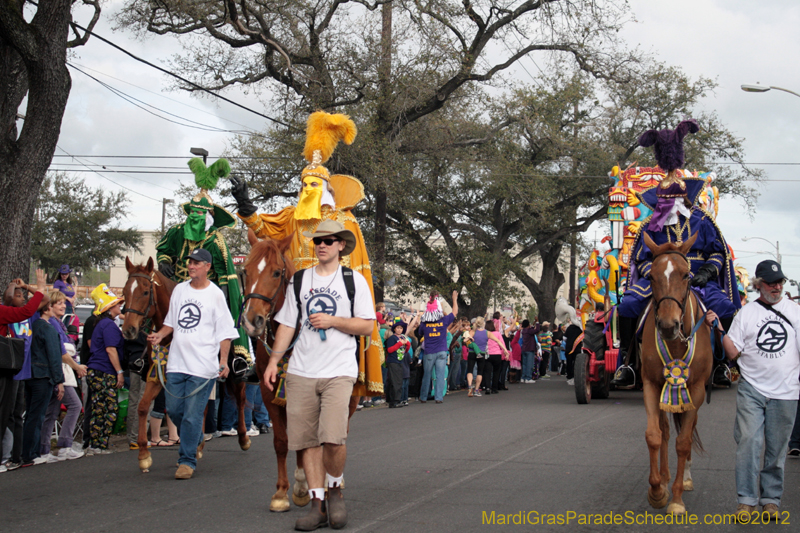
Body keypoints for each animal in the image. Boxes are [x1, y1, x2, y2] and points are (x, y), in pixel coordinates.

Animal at [640, 233, 716, 516]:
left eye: (686, 275)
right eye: (651, 277)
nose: (667, 325)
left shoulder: (696, 389)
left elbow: (684, 442)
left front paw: (676, 498)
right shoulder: (651, 384)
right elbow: (654, 435)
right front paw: (657, 491)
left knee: (688, 429)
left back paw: (685, 479)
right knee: (665, 430)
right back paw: (664, 477)